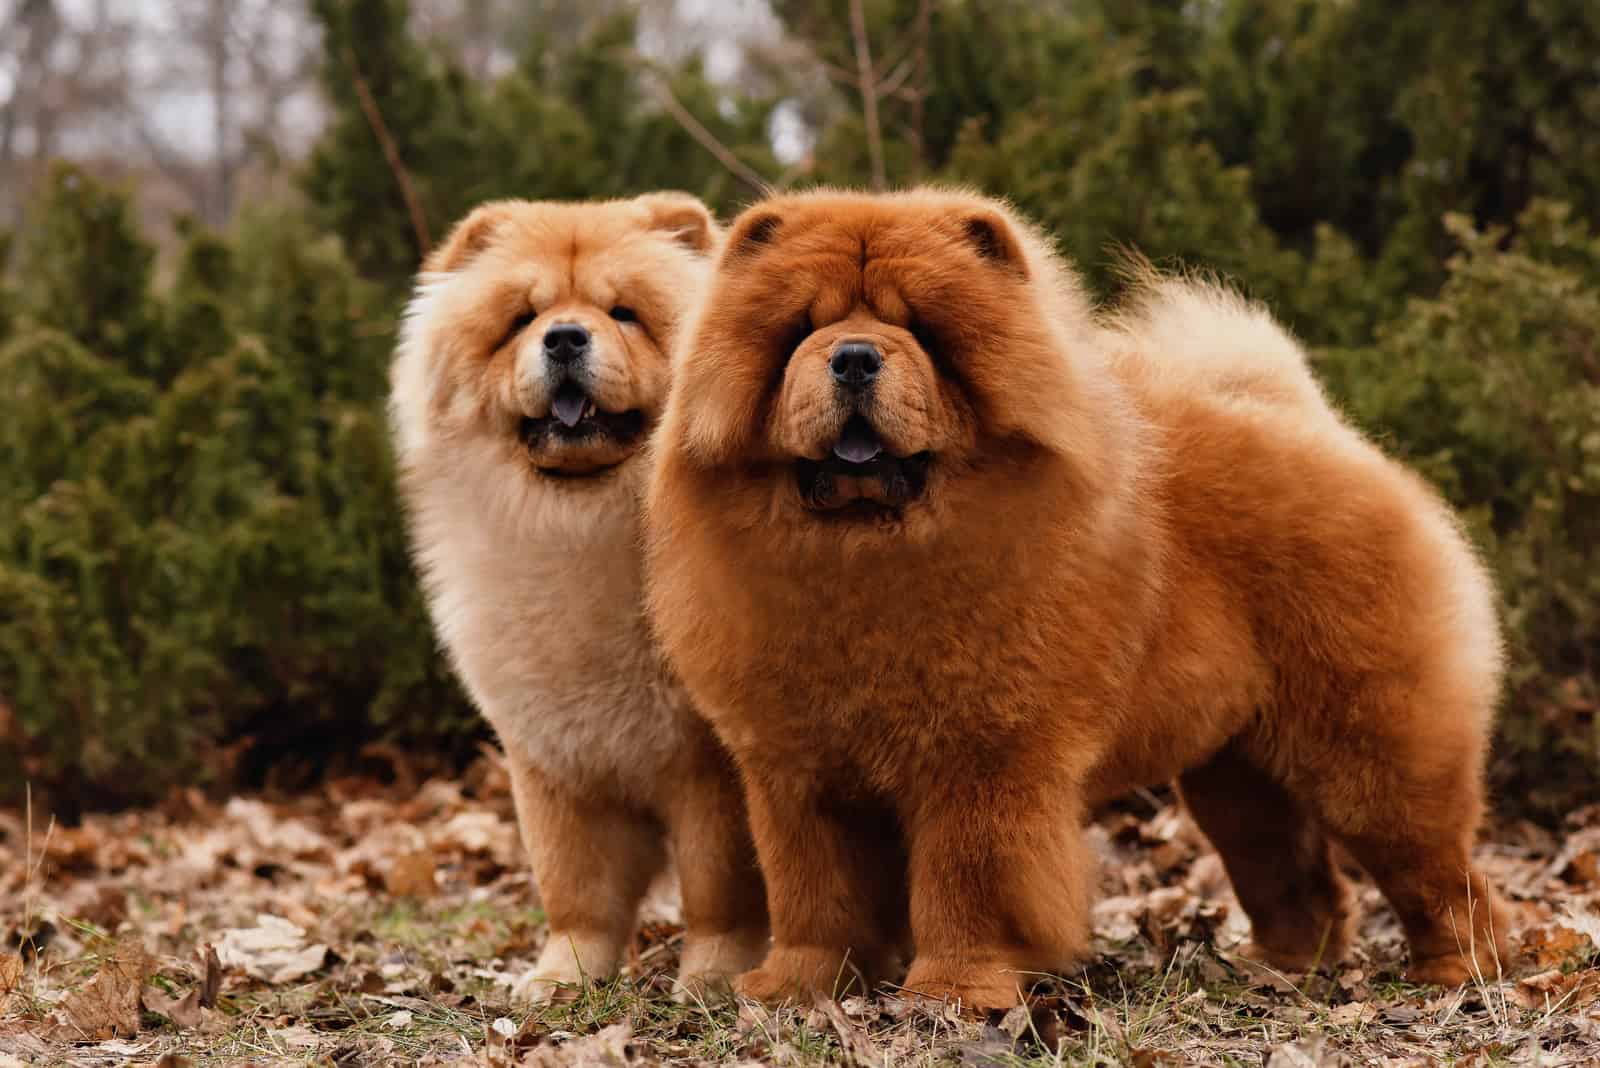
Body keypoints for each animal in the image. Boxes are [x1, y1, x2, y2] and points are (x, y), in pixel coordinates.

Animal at [385, 195, 761, 1004]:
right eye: (522, 319)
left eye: (624, 313)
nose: (562, 337)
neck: (585, 526)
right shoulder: (553, 762)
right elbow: (576, 890)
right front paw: (563, 979)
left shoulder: (712, 768)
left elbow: (719, 890)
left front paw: (713, 977)